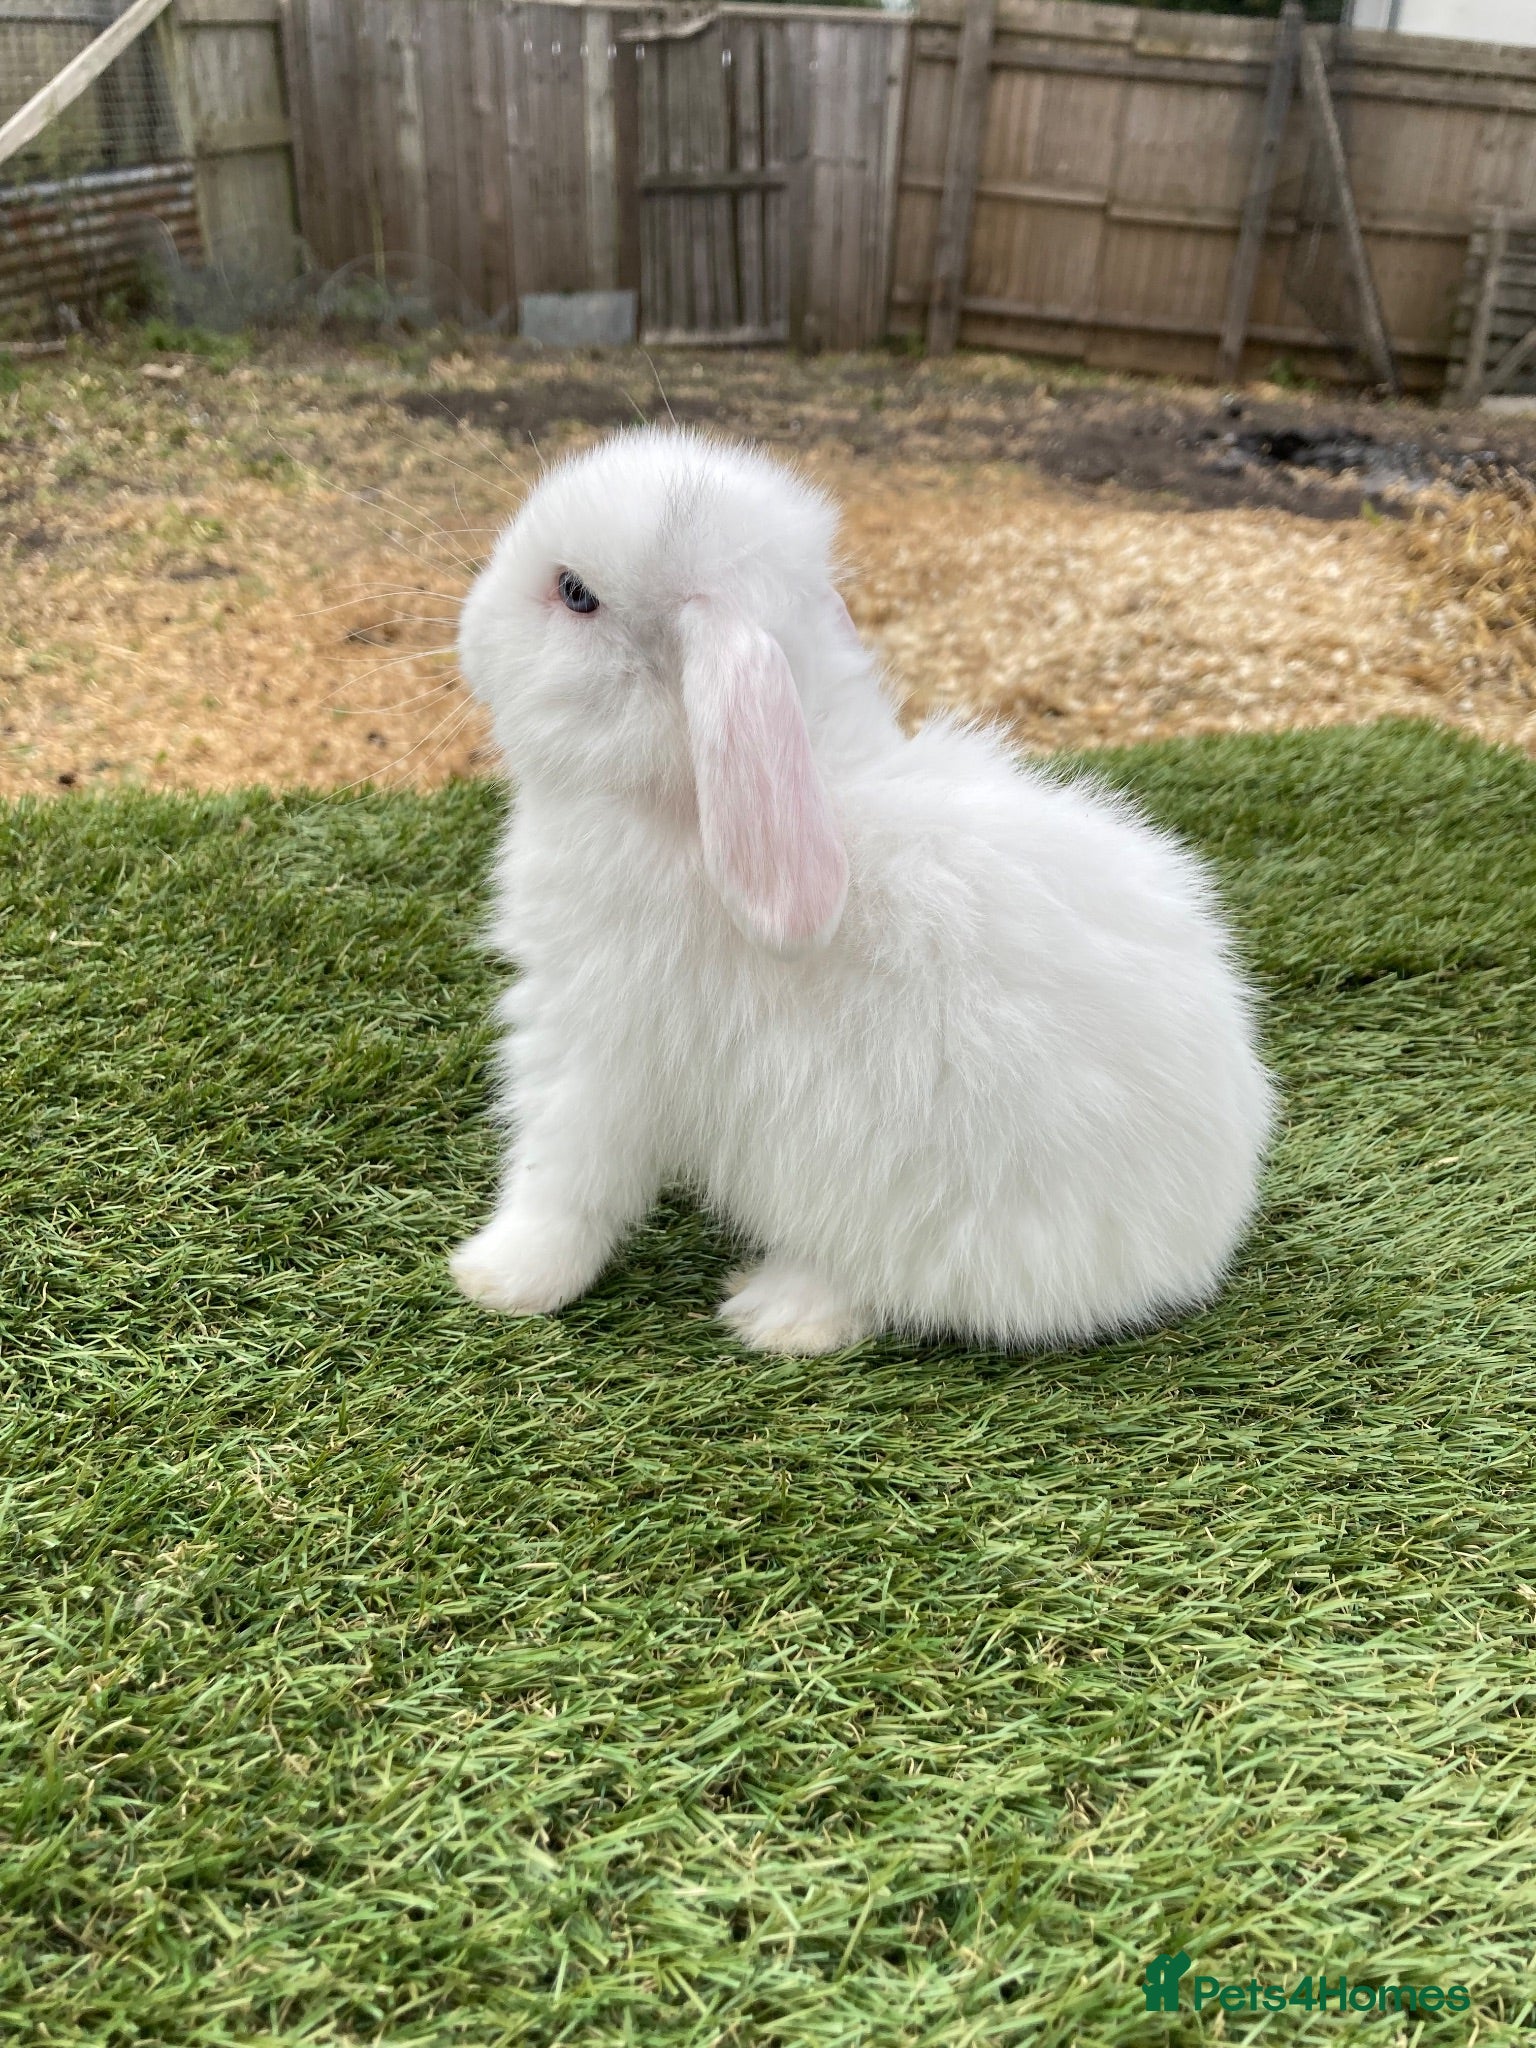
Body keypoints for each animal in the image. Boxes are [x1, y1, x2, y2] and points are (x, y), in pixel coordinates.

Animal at [448, 427, 1276, 1354]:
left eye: (576, 593)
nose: (468, 631)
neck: (681, 799)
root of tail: (1193, 1244)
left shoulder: (599, 1046)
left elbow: (560, 1182)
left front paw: (497, 1278)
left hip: (900, 1200)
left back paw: (777, 1311)